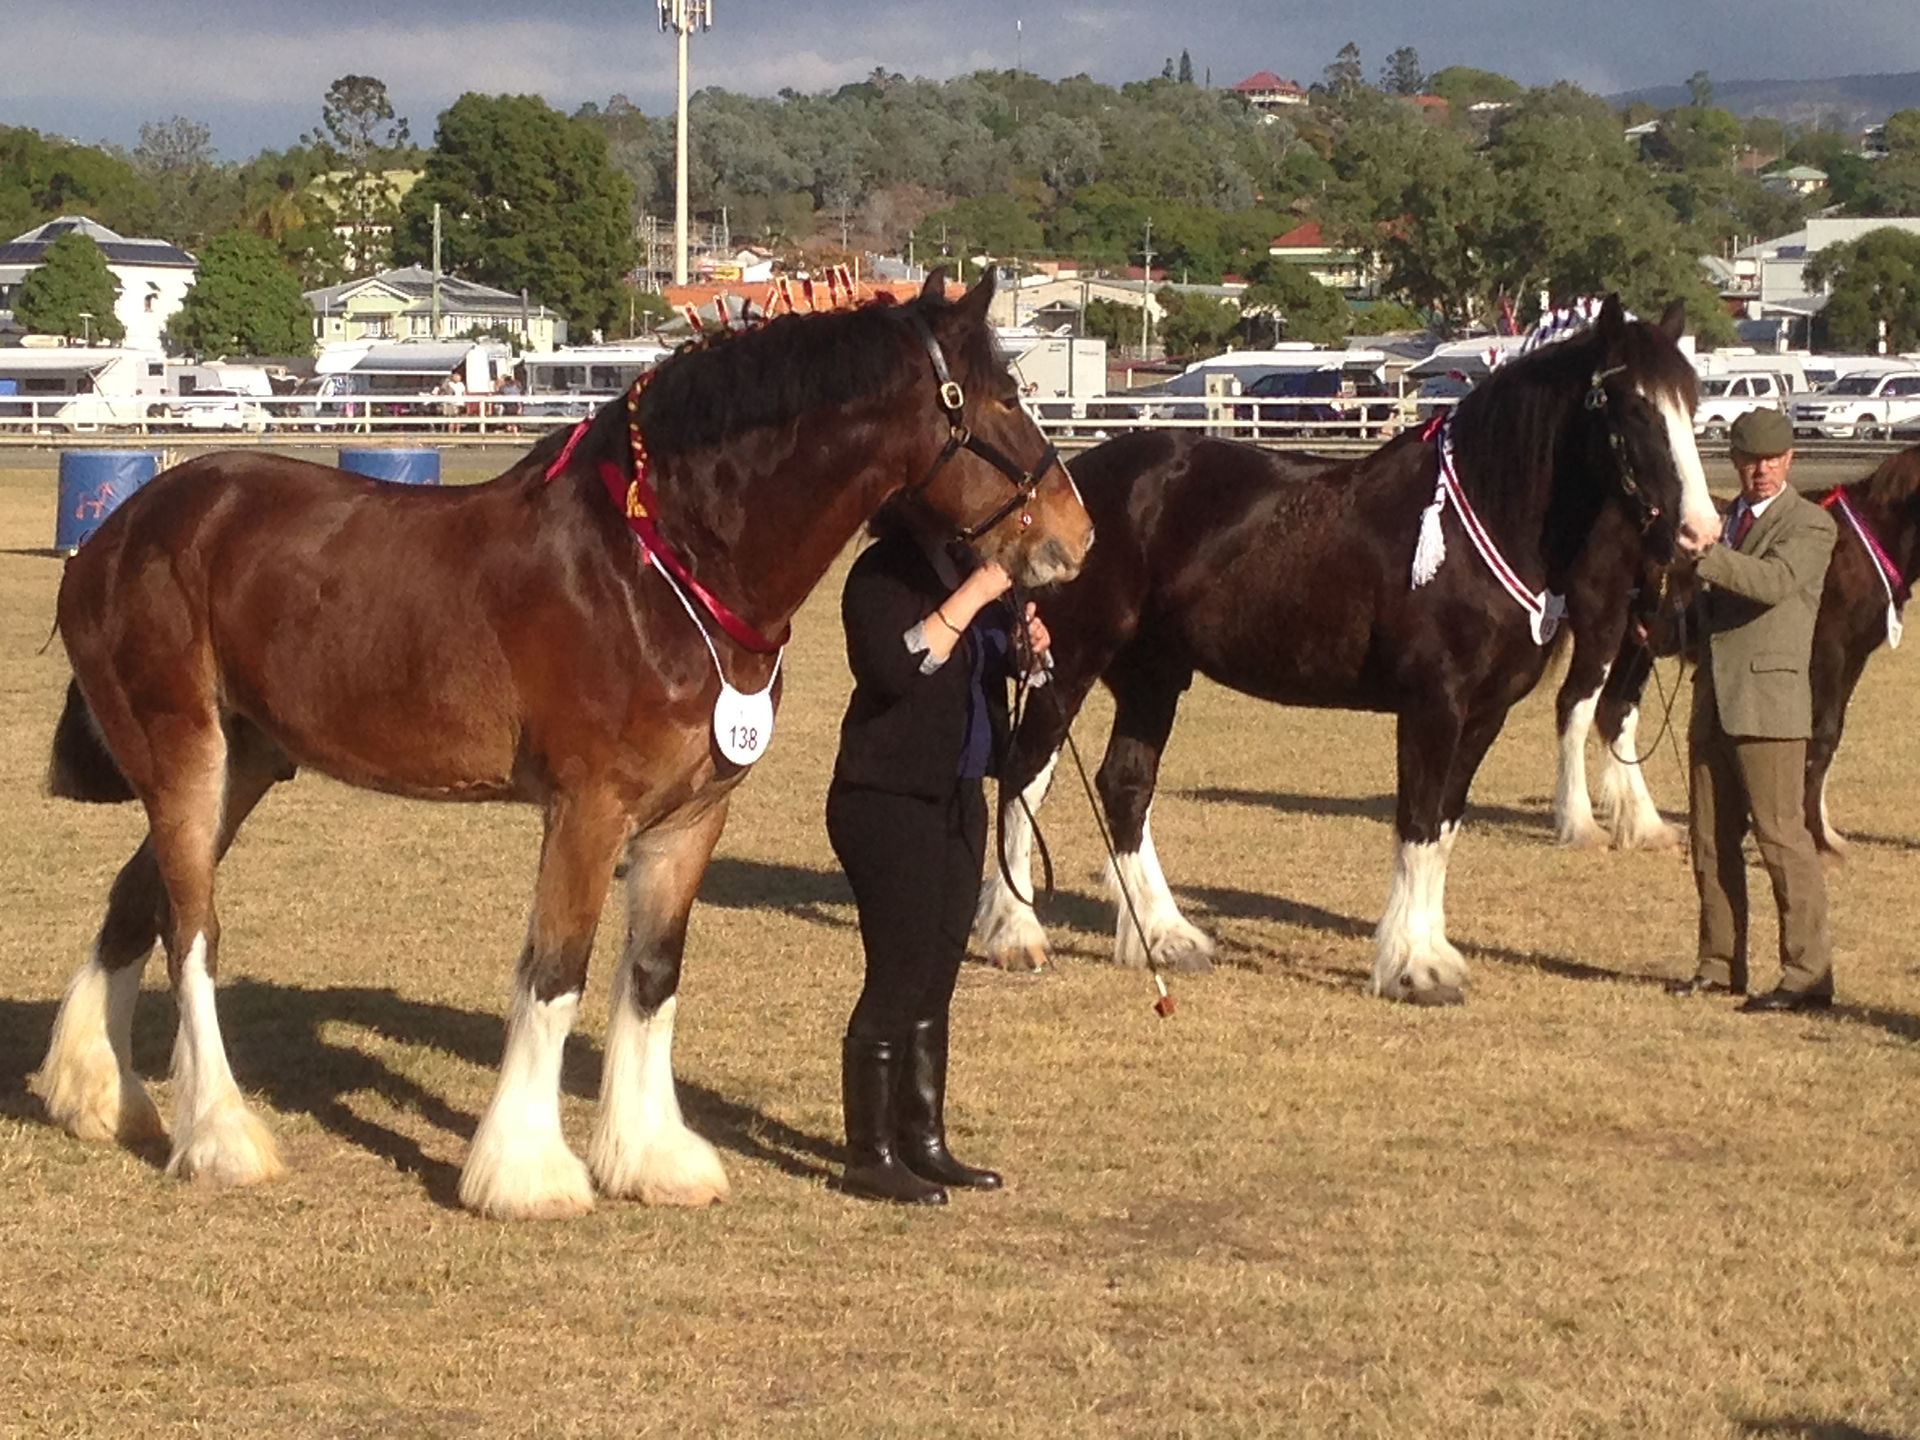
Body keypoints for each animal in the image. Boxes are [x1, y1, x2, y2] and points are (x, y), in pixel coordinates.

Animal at [32, 270, 1095, 1219]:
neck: (662, 570)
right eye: (1001, 400)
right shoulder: (588, 811)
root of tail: (120, 531)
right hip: (185, 760)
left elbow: (652, 976)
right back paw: (220, 1139)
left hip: (239, 767)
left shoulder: (690, 820)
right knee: (190, 933)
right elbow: (556, 974)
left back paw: (97, 1097)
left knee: (136, 905)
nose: (1075, 539)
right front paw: (528, 1175)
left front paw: (653, 1160)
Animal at [972, 296, 1717, 1003]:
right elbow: (1416, 824)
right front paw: (1412, 969)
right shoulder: (1433, 706)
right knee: (1024, 776)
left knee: (1125, 786)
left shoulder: (1484, 715)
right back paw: (1017, 934)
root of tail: (1063, 498)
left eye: (1692, 398)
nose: (1699, 532)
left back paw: (1165, 935)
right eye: (1632, 405)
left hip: (1153, 676)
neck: (1477, 522)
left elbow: (1444, 828)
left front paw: (1433, 953)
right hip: (1068, 663)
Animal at [1551, 442, 1920, 857]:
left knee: (1616, 711)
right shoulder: (1829, 652)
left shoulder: (1851, 658)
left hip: (1638, 644)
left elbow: (1823, 734)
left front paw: (1820, 830)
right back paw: (1579, 824)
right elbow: (1822, 735)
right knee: (1575, 706)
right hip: (1604, 631)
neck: (1857, 547)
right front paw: (1817, 838)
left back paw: (1648, 827)